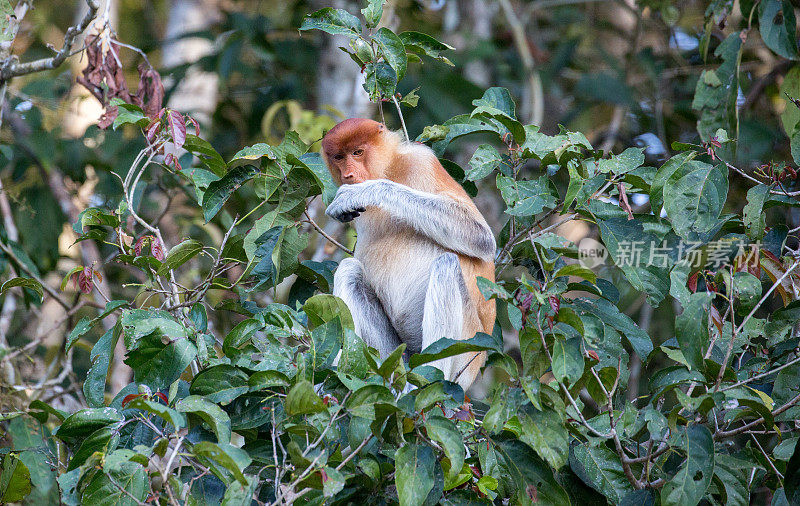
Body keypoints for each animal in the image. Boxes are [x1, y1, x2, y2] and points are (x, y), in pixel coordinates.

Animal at [322, 119, 496, 392]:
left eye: (357, 152)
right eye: (339, 157)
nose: (348, 176)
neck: (389, 169)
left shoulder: (422, 161)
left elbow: (481, 237)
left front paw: (362, 191)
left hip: (466, 353)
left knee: (446, 265)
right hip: (395, 353)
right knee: (349, 269)